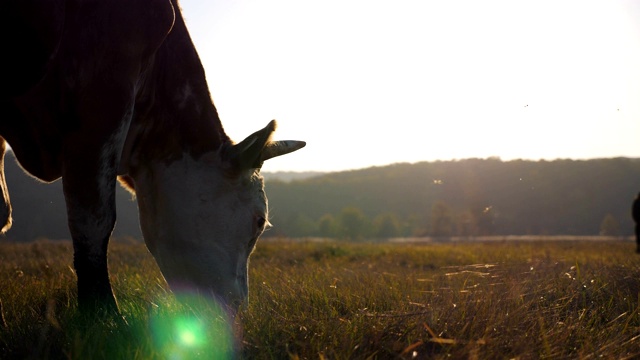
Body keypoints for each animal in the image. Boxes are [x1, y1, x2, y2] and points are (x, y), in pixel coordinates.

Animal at [0, 0, 304, 316]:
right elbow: (93, 217)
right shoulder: (106, 92)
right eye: (260, 221)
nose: (239, 308)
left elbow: (2, 208)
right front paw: (105, 315)